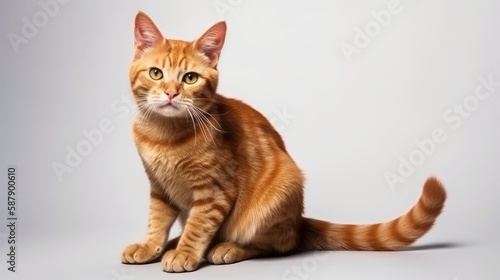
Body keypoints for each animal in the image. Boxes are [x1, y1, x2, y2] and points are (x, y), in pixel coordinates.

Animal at [120, 12, 446, 272]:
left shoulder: (215, 191)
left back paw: (226, 248)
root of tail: (299, 221)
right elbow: (157, 220)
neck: (165, 134)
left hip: (280, 189)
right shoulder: (159, 188)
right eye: (156, 73)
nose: (171, 93)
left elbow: (199, 227)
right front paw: (151, 246)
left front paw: (186, 252)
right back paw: (173, 243)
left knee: (276, 245)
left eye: (189, 78)